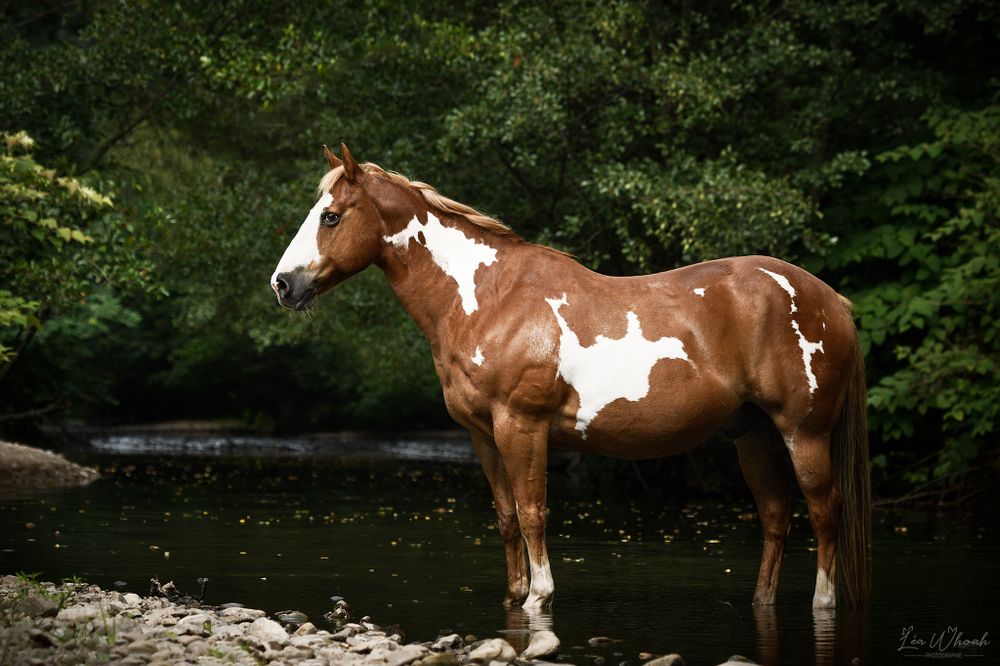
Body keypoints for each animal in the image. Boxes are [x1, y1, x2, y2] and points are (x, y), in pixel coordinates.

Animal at [270, 144, 871, 611]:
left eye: (331, 217)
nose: (282, 284)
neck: (489, 299)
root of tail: (833, 300)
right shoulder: (482, 435)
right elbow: (506, 517)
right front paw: (514, 595)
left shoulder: (522, 426)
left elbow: (533, 513)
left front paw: (539, 596)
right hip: (755, 436)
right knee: (776, 516)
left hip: (803, 433)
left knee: (825, 512)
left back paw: (823, 601)